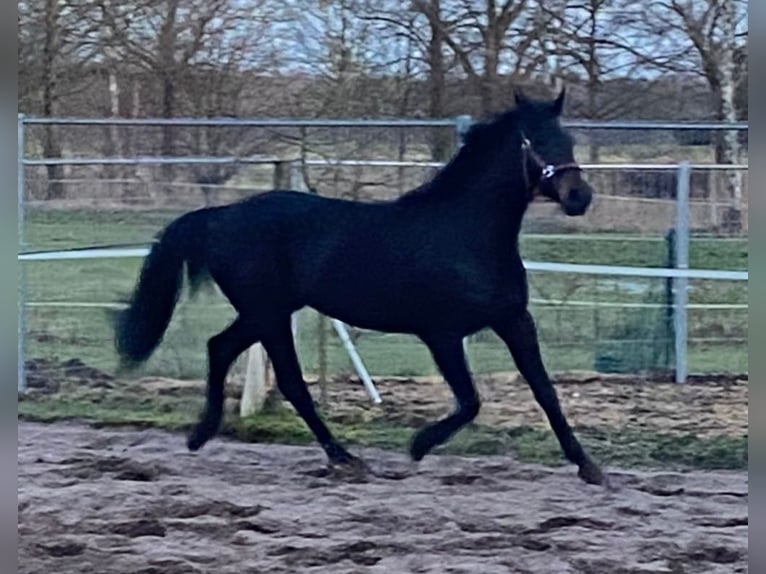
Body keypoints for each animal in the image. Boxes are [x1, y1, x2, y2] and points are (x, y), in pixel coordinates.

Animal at [115, 89, 608, 486]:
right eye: (535, 141)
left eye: (568, 140)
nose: (579, 198)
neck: (466, 233)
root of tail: (218, 216)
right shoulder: (443, 334)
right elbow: (470, 401)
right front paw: (417, 446)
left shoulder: (513, 321)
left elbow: (545, 392)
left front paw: (589, 467)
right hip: (268, 313)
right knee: (287, 380)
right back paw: (343, 458)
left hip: (265, 313)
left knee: (222, 349)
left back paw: (202, 435)